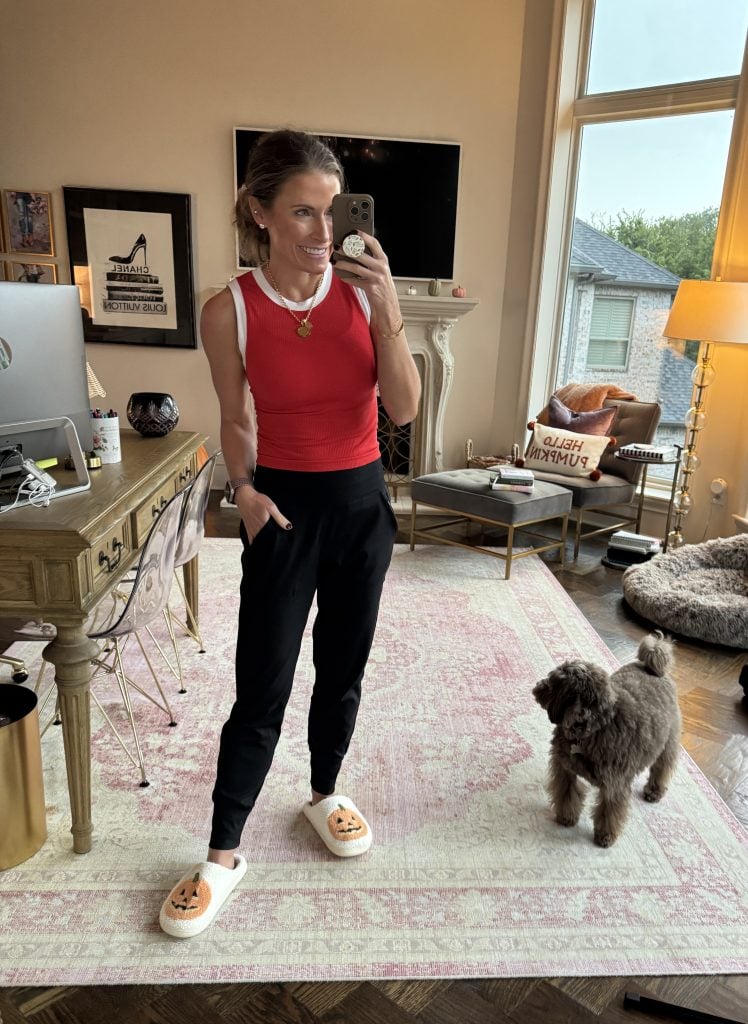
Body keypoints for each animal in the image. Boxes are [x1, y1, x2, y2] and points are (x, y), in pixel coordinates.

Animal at [532, 632, 681, 847]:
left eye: (553, 682)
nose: (536, 687)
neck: (591, 730)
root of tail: (652, 667)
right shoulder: (565, 769)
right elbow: (566, 795)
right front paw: (566, 817)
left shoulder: (614, 786)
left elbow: (609, 812)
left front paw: (605, 836)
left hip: (668, 743)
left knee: (662, 768)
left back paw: (654, 791)